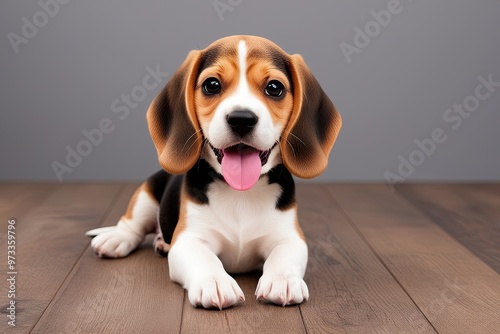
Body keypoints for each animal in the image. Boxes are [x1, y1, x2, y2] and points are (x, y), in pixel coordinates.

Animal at [88, 35, 342, 310]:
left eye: (274, 88)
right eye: (212, 85)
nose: (241, 118)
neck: (241, 192)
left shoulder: (289, 236)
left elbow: (283, 255)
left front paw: (282, 279)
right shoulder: (189, 239)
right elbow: (204, 258)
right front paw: (215, 282)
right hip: (147, 193)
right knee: (132, 225)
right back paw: (116, 239)